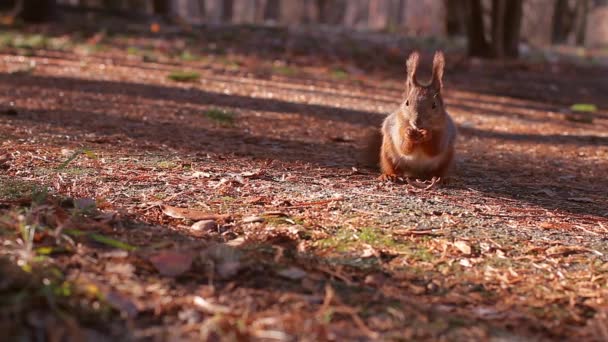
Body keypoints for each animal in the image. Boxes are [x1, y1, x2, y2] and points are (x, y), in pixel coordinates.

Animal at [360, 50, 456, 182]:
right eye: (407, 103)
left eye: (434, 105)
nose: (416, 122)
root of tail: (415, 172)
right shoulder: (397, 126)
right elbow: (402, 147)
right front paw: (408, 133)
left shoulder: (445, 131)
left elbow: (436, 148)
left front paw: (427, 134)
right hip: (387, 151)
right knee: (392, 166)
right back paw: (389, 175)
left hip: (447, 157)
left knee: (437, 170)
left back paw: (439, 178)